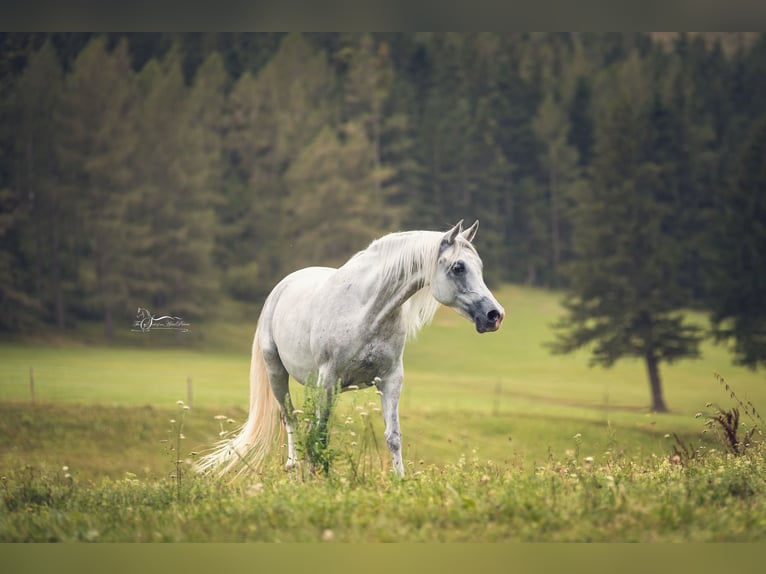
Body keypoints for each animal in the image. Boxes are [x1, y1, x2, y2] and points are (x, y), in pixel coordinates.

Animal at [198, 219, 508, 476]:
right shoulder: (328, 380)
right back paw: (294, 468)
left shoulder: (390, 380)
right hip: (278, 375)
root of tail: (281, 287)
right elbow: (321, 432)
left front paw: (400, 481)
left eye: (479, 266)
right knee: (291, 420)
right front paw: (322, 479)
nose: (495, 315)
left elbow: (393, 437)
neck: (367, 310)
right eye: (458, 267)